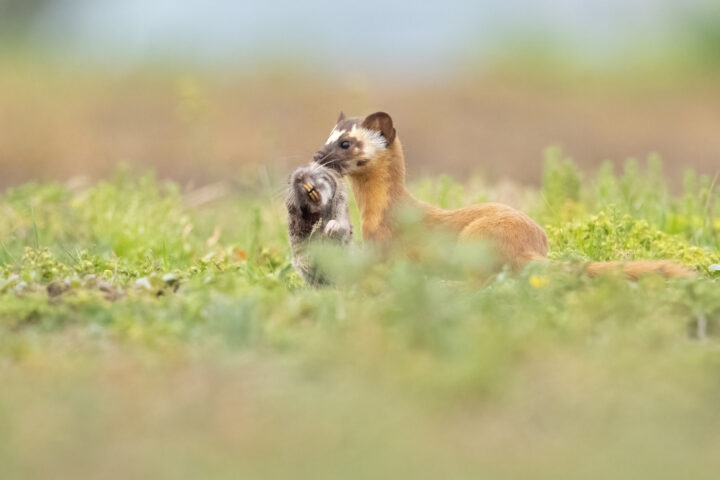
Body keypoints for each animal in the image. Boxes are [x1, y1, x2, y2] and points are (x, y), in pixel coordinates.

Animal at [312, 111, 696, 280]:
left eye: (346, 143)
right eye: (327, 137)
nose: (317, 155)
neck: (378, 216)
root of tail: (529, 244)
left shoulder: (385, 250)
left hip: (473, 239)